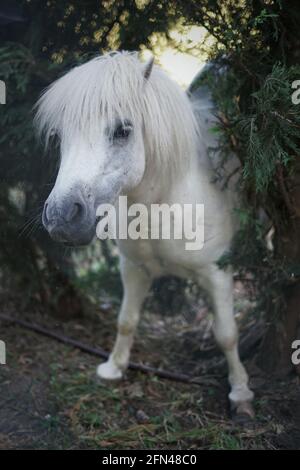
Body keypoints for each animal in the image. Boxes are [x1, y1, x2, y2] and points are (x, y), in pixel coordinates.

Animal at [36, 52, 254, 418]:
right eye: (60, 135)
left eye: (122, 131)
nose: (61, 218)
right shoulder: (133, 269)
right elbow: (126, 320)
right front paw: (113, 368)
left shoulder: (217, 273)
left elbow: (227, 334)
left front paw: (240, 393)